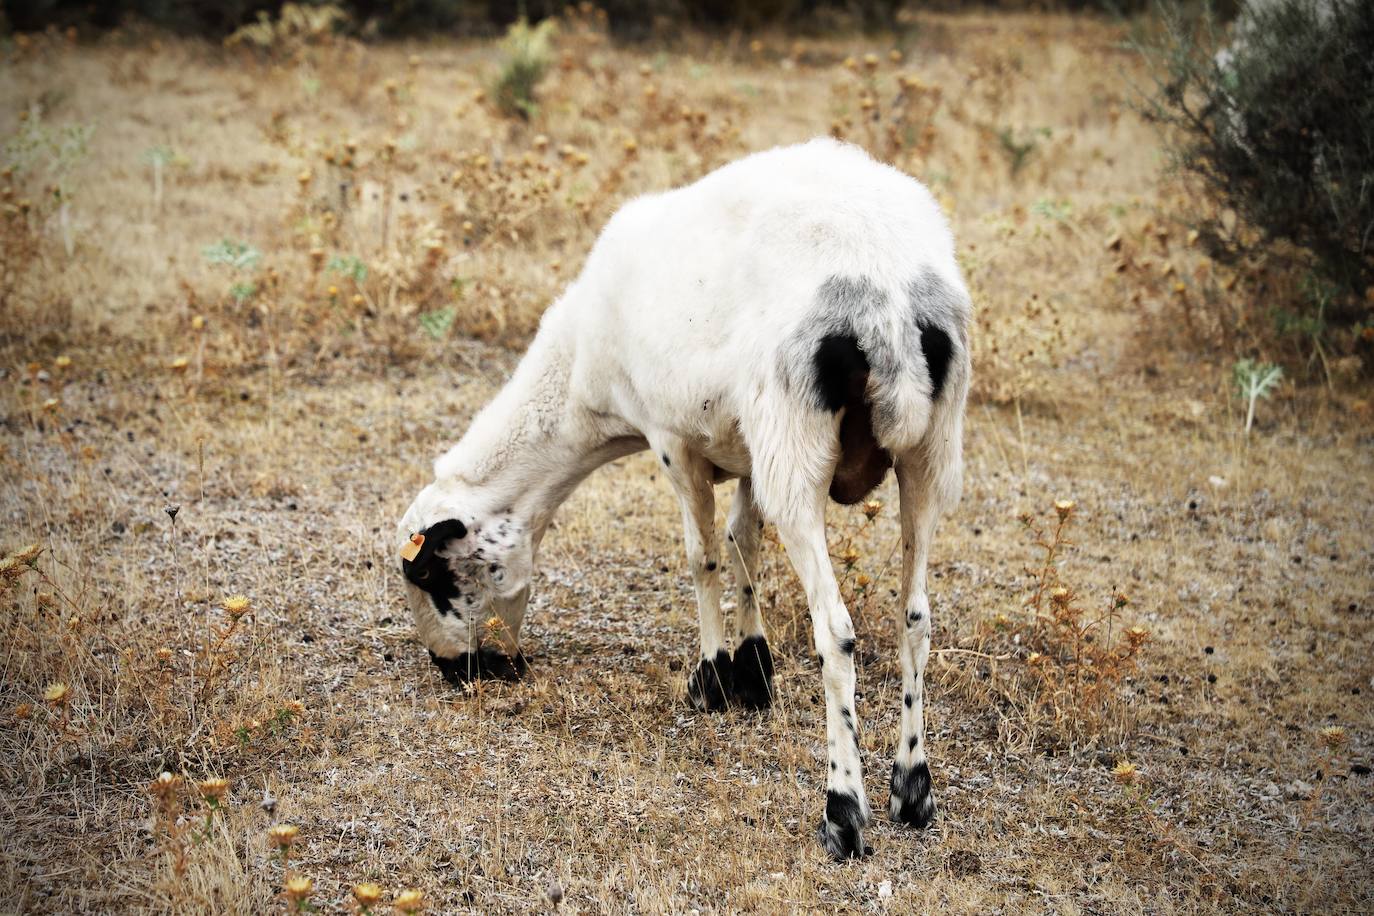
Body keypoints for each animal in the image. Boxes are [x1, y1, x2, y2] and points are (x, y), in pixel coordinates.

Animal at [398, 135, 972, 862]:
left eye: (434, 579)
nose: (456, 673)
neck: (580, 380)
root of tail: (889, 298)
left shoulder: (673, 440)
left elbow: (703, 558)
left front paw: (711, 681)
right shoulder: (749, 446)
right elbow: (745, 542)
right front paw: (753, 674)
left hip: (798, 444)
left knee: (837, 634)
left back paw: (844, 812)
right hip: (926, 454)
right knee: (916, 618)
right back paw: (912, 791)